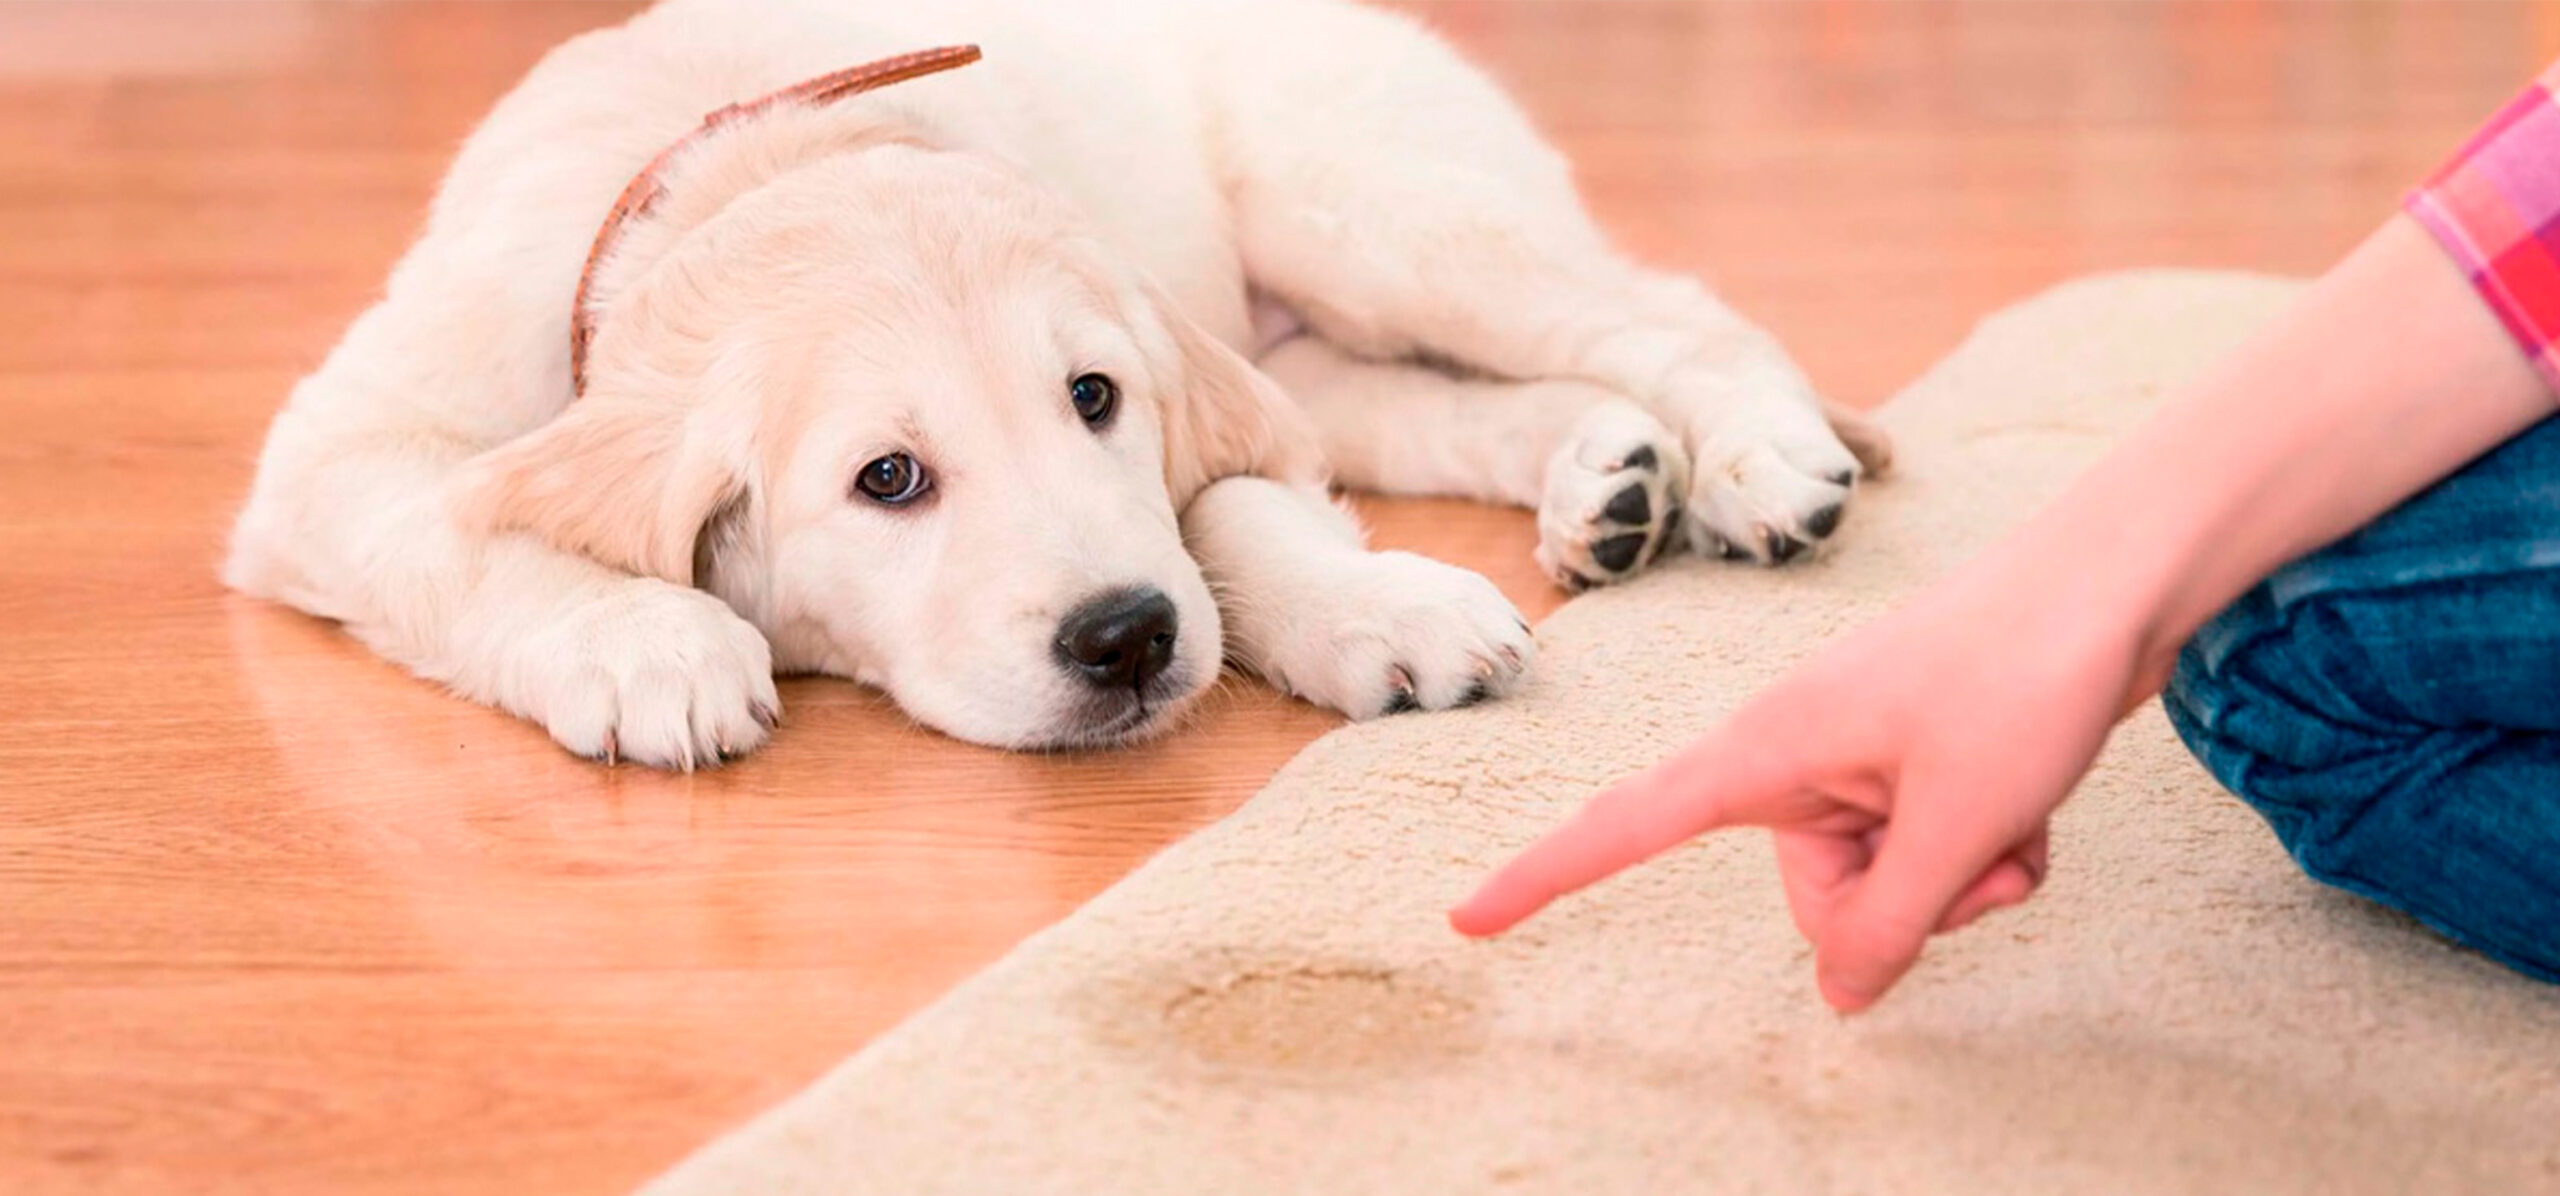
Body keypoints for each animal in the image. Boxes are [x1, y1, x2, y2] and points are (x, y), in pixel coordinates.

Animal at [220, 0, 1884, 768]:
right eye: (888, 480)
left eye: (1095, 400)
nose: (1126, 640)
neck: (748, 152)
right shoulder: (337, 455)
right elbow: (455, 534)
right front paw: (644, 643)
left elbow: (1228, 515)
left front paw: (1372, 607)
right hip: (1321, 326)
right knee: (1430, 396)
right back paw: (1611, 481)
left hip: (1367, 202)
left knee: (1659, 311)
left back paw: (1757, 460)